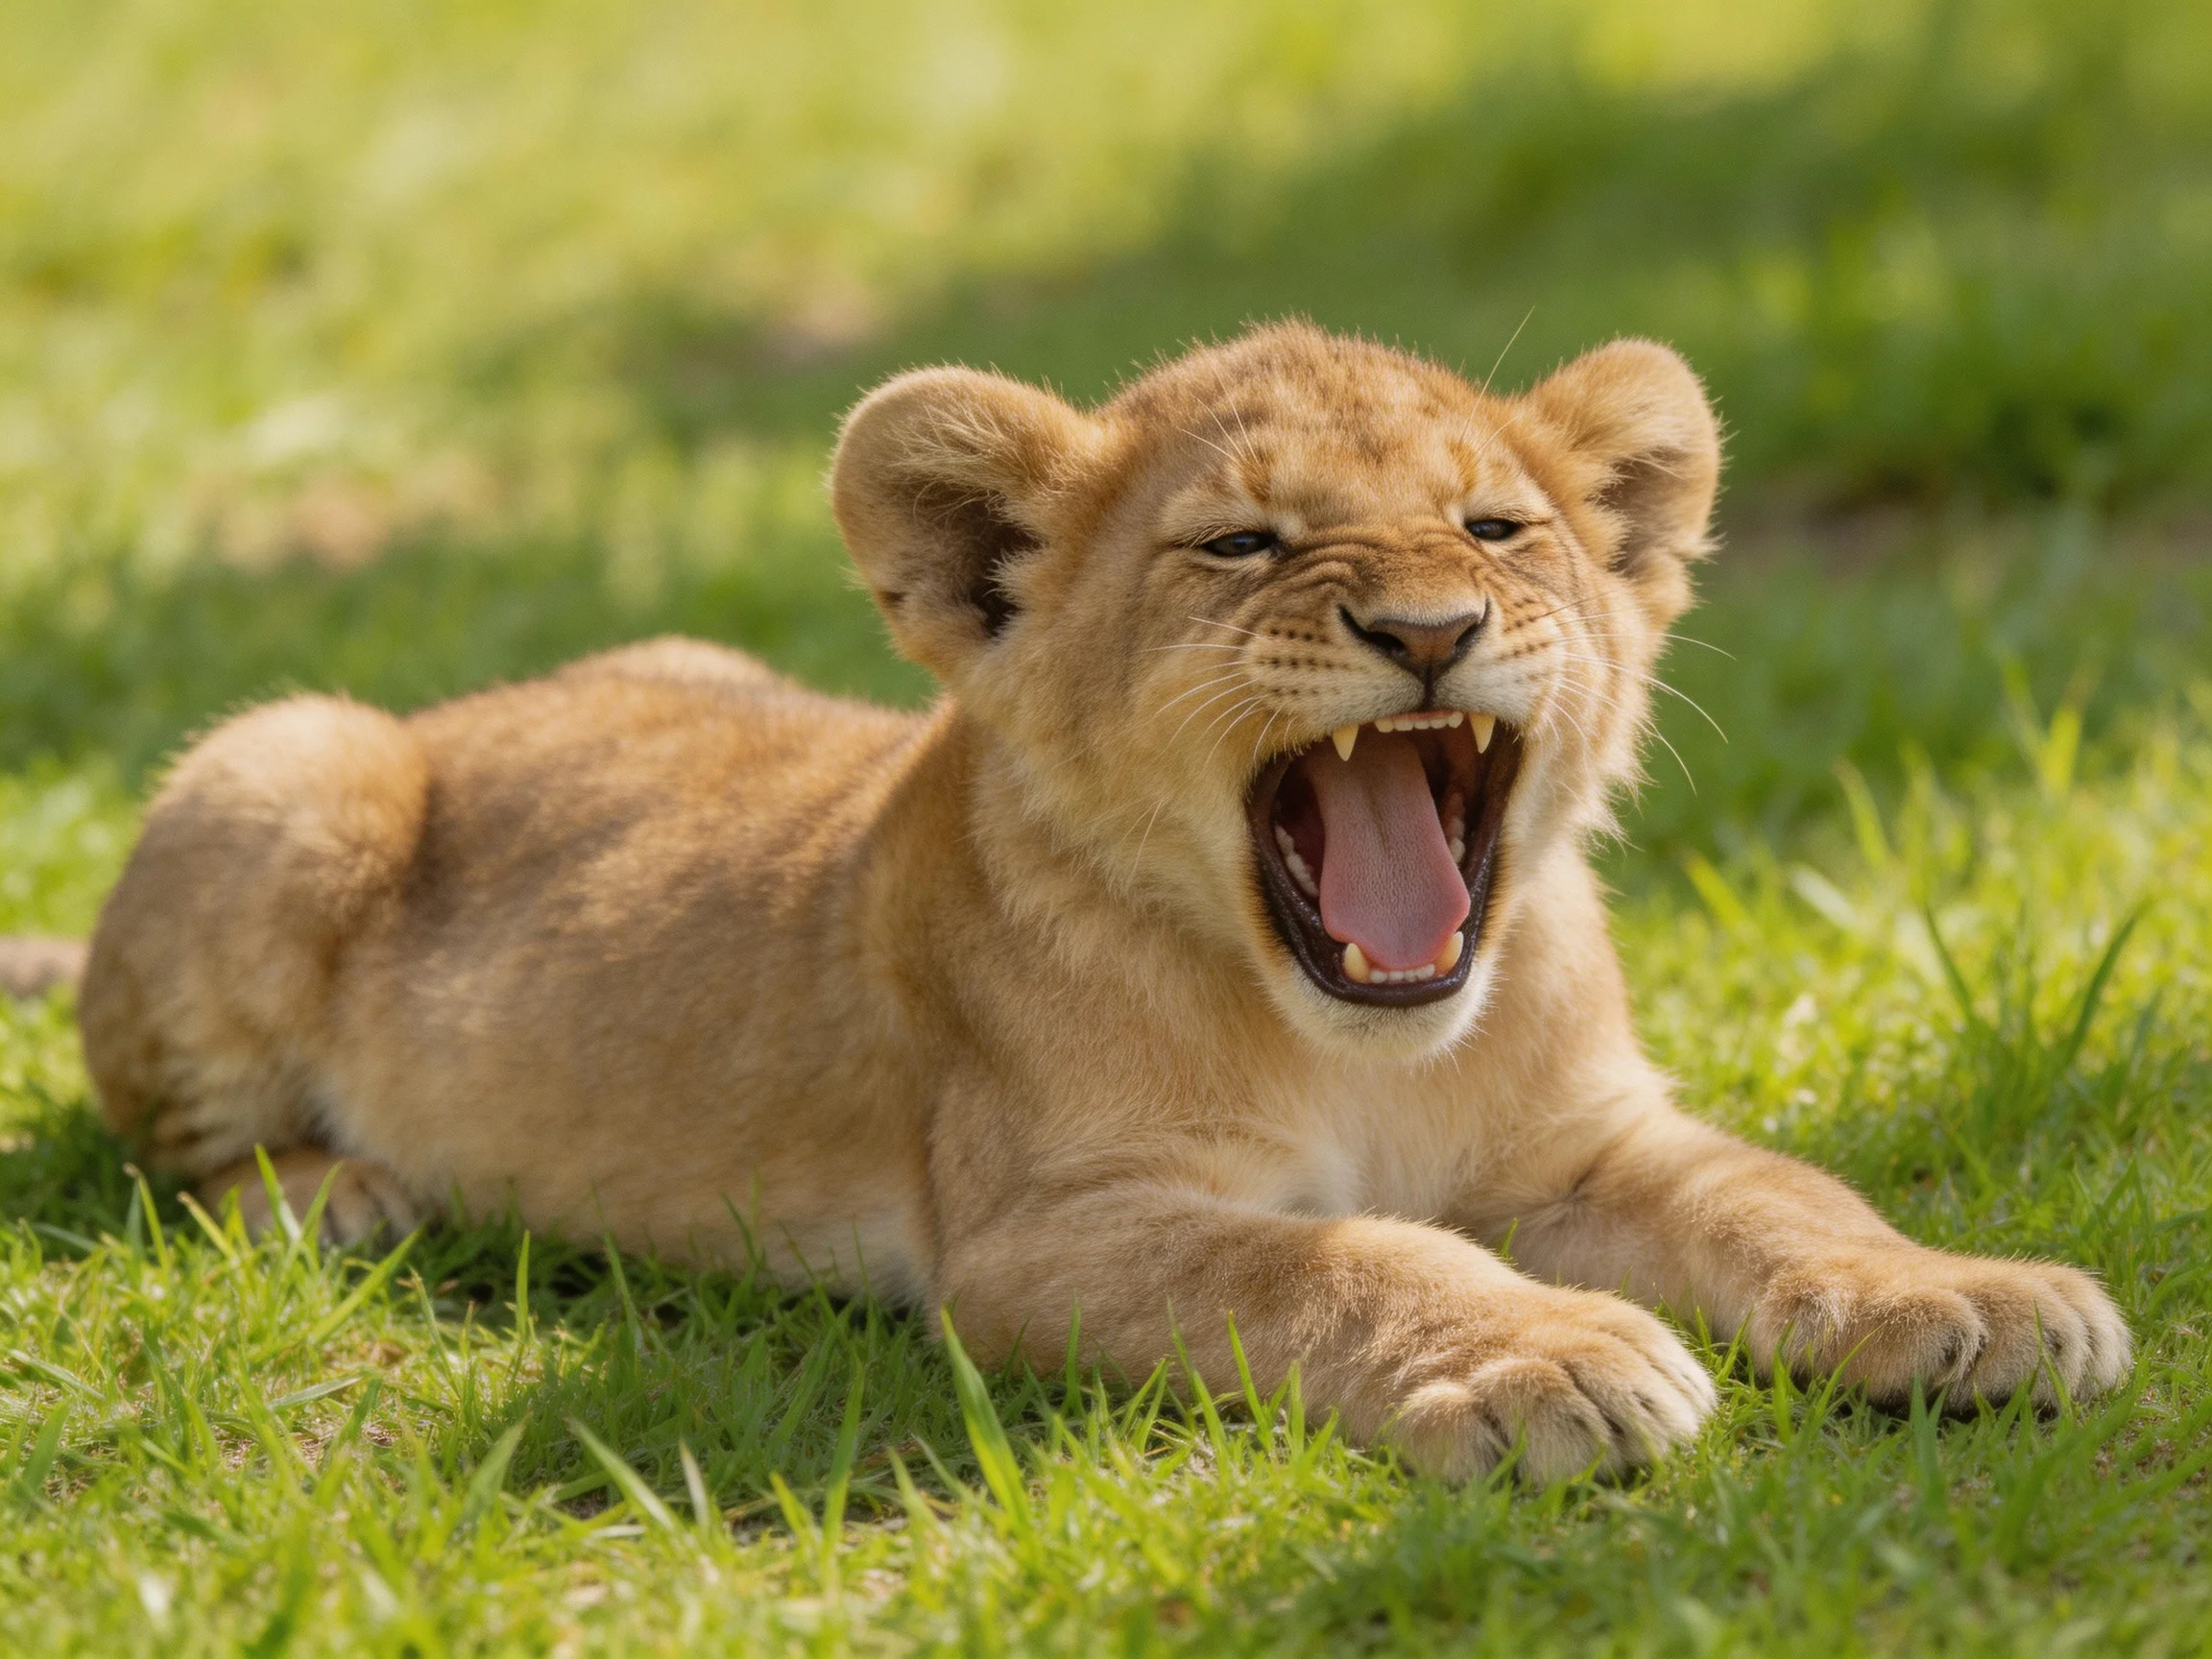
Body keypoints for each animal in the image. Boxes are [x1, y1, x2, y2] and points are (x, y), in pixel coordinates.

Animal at [74, 325, 2129, 1480]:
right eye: (1239, 543)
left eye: (1493, 527)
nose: (1426, 629)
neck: (1357, 1043)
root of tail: (463, 710)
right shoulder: (1039, 1231)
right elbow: (1338, 1255)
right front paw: (1549, 1351)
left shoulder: (1588, 1138)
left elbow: (1783, 1195)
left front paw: (1974, 1296)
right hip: (286, 763)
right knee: (167, 1152)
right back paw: (338, 1193)